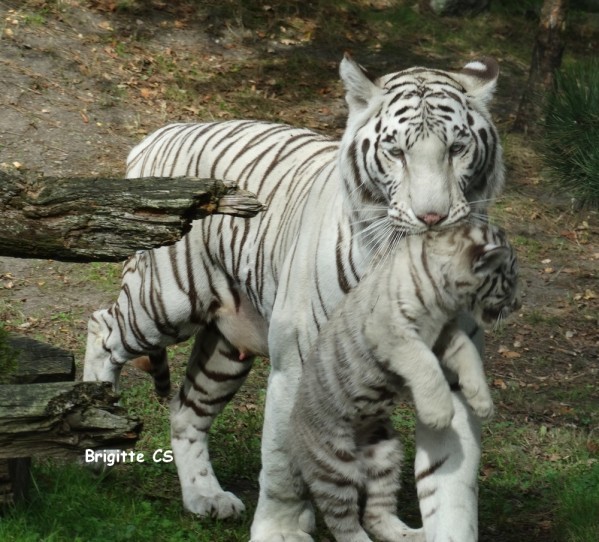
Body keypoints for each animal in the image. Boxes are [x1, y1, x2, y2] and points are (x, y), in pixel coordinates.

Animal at [288, 224, 516, 542]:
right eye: (509, 279)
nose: (518, 304)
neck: (445, 298)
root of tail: (292, 430)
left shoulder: (446, 334)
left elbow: (468, 354)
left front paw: (483, 403)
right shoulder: (393, 332)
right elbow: (426, 365)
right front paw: (440, 414)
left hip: (386, 453)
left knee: (375, 515)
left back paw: (416, 534)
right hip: (333, 467)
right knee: (344, 522)